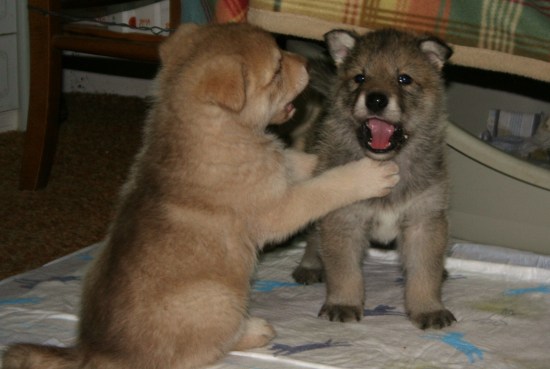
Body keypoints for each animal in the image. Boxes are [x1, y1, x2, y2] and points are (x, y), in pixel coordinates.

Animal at [294, 28, 458, 328]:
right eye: (360, 77)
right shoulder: (342, 219)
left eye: (404, 78)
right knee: (313, 237)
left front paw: (428, 308)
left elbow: (424, 274)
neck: (386, 166)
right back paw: (309, 266)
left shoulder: (424, 220)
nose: (376, 99)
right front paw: (343, 303)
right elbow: (344, 271)